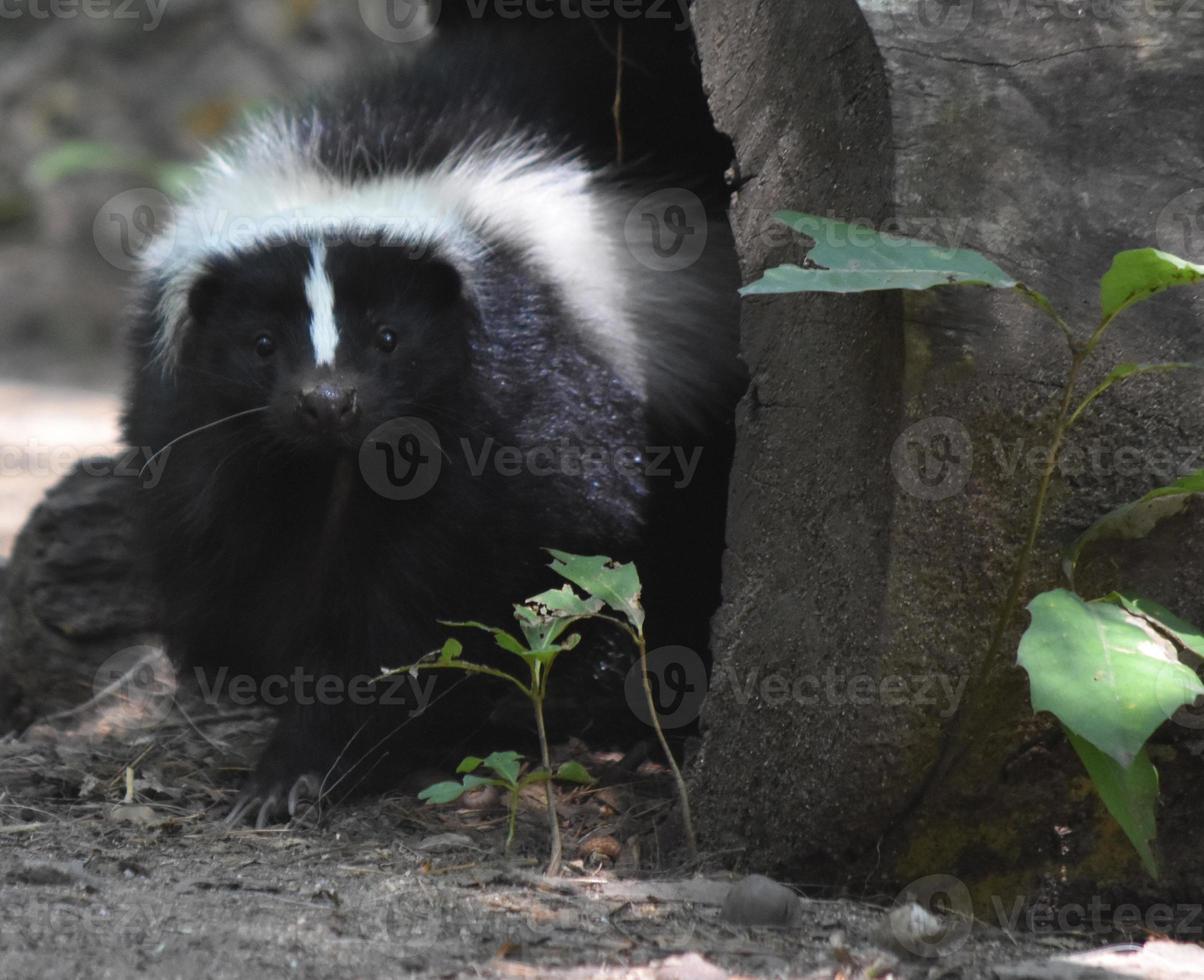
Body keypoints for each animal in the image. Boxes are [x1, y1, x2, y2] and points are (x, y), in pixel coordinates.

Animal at [122, 11, 741, 823]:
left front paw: (306, 760)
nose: (328, 401)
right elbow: (234, 550)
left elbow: (425, 599)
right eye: (261, 343)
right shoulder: (204, 428)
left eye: (390, 336)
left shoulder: (520, 404)